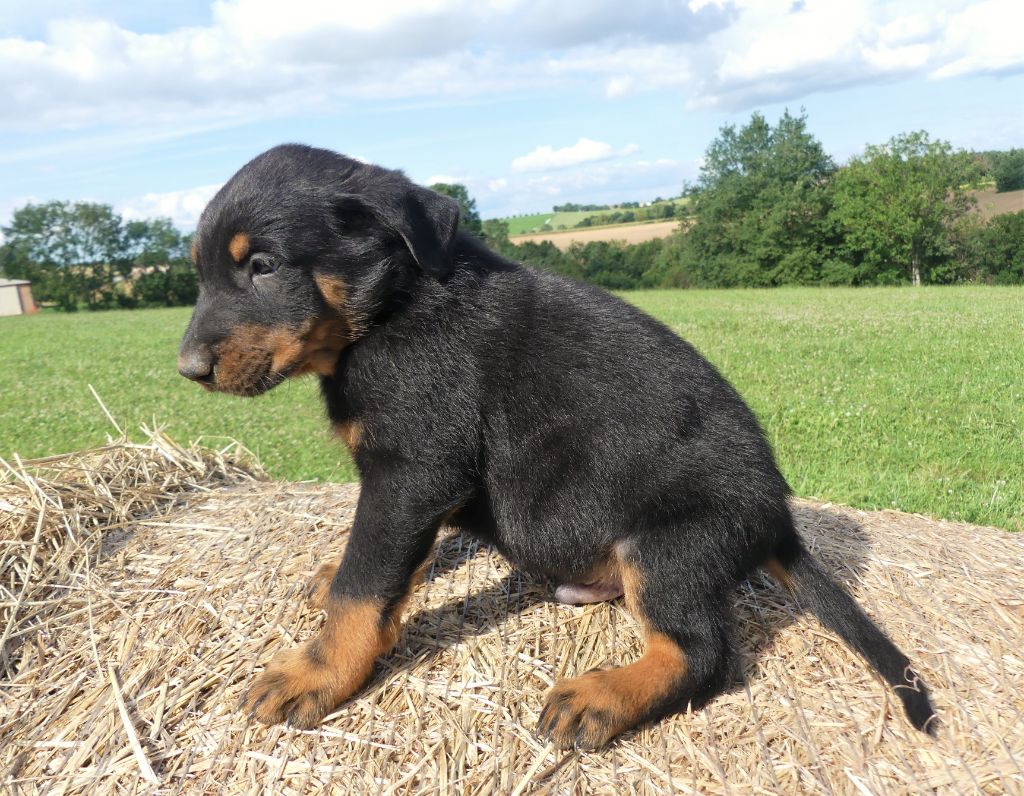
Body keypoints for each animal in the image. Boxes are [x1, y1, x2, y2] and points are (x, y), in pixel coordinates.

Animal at [178, 142, 937, 745]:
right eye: (201, 273)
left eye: (264, 266)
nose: (187, 370)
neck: (391, 312)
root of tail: (778, 520)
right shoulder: (415, 485)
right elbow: (384, 563)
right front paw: (333, 579)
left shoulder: (412, 469)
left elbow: (365, 589)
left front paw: (316, 673)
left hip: (667, 546)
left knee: (704, 653)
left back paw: (600, 697)